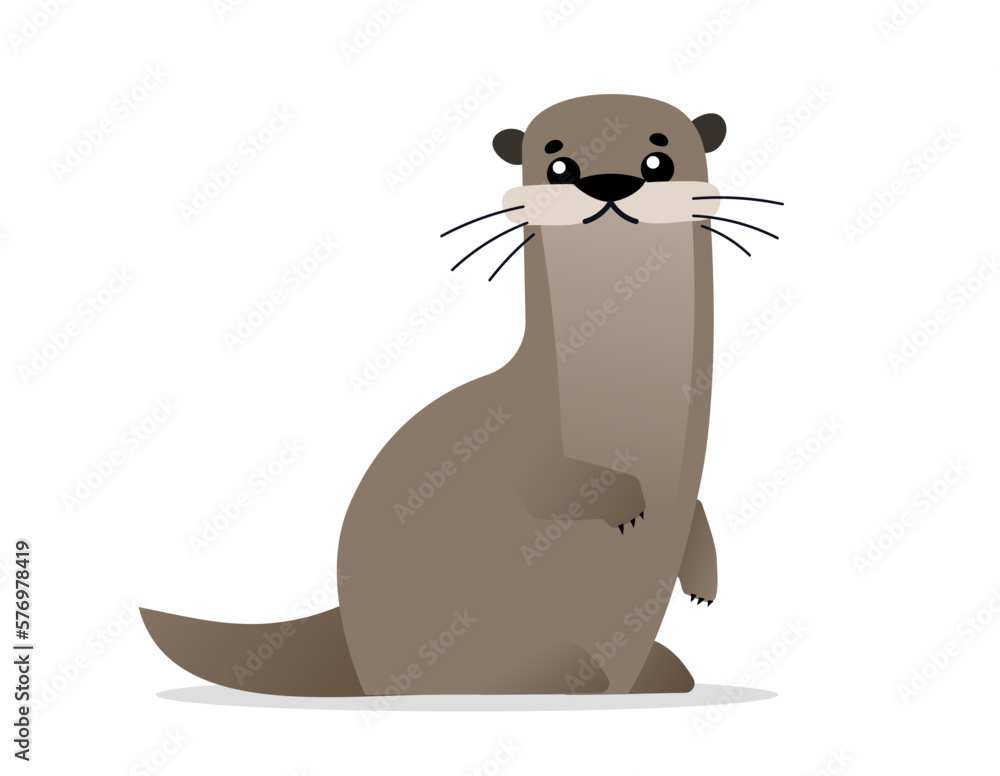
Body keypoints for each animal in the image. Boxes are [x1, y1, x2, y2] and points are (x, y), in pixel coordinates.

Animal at [141, 94, 780, 696]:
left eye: (659, 158)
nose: (608, 182)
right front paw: (623, 500)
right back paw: (563, 678)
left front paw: (703, 580)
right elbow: (545, 480)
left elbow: (693, 507)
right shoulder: (528, 439)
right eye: (557, 163)